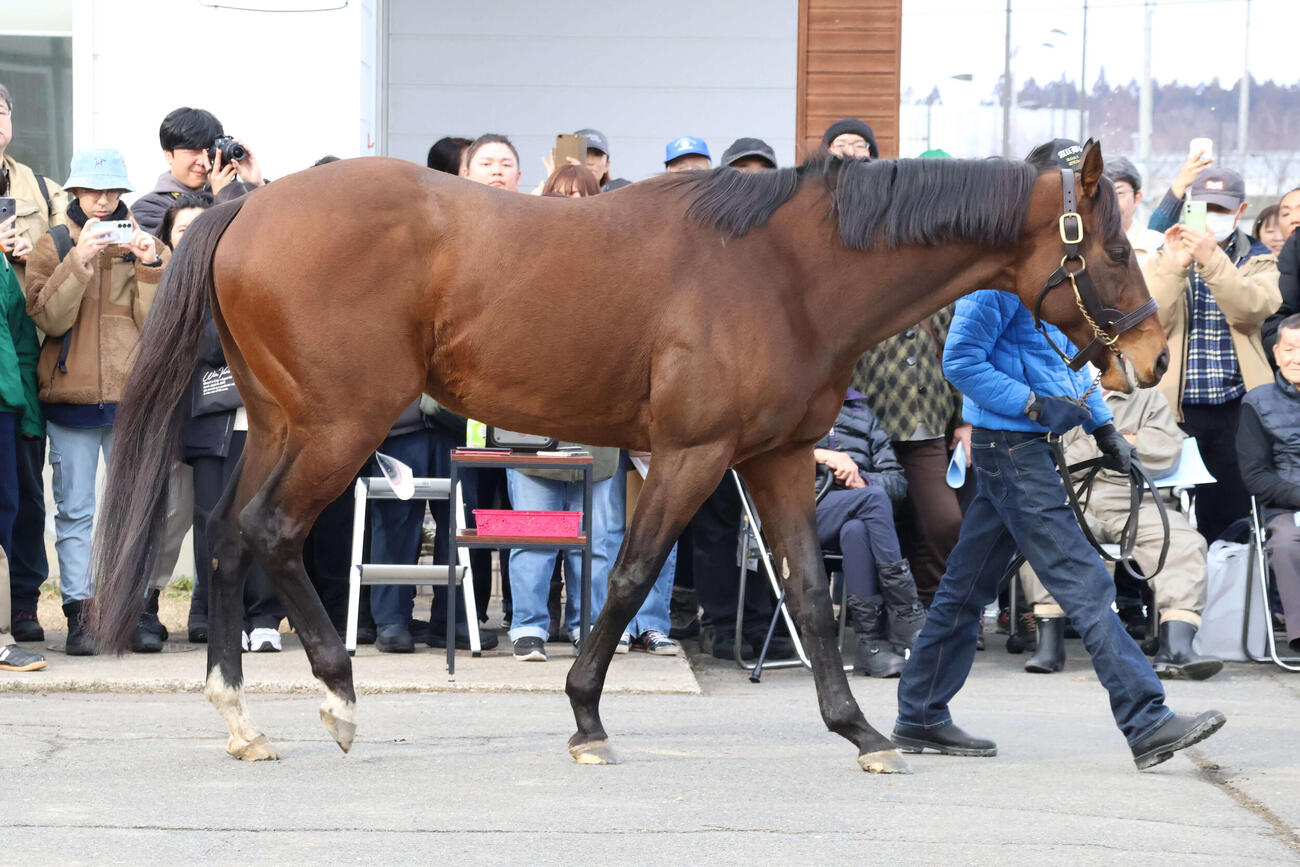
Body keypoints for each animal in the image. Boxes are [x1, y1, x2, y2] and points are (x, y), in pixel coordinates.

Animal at [91, 139, 1167, 774]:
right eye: (1114, 251)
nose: (1156, 355)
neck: (786, 271)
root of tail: (249, 206)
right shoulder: (691, 455)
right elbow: (628, 574)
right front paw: (585, 718)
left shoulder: (777, 458)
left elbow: (808, 599)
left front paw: (860, 731)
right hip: (338, 427)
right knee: (272, 535)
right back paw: (337, 697)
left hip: (284, 425)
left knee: (229, 539)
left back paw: (243, 715)